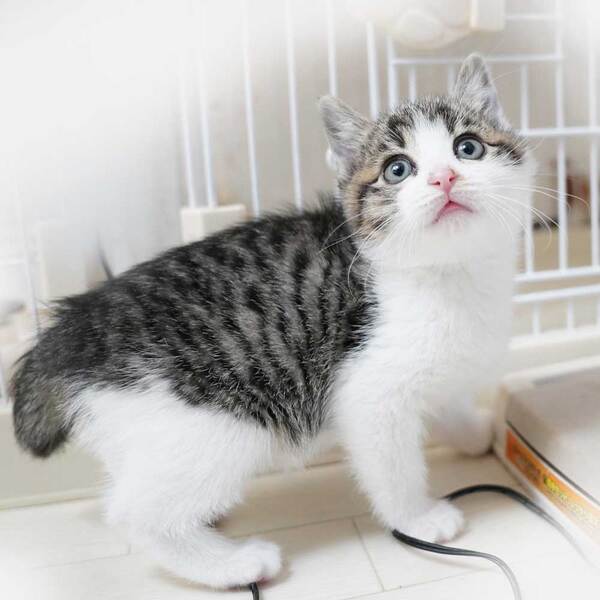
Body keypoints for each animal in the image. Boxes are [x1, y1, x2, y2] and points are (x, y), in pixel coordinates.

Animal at [11, 54, 534, 589]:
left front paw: (475, 431)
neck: (452, 274)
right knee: (134, 513)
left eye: (467, 148)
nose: (444, 178)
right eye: (397, 170)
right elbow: (393, 465)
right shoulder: (369, 392)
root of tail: (67, 331)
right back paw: (231, 562)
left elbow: (446, 398)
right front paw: (419, 517)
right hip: (214, 426)